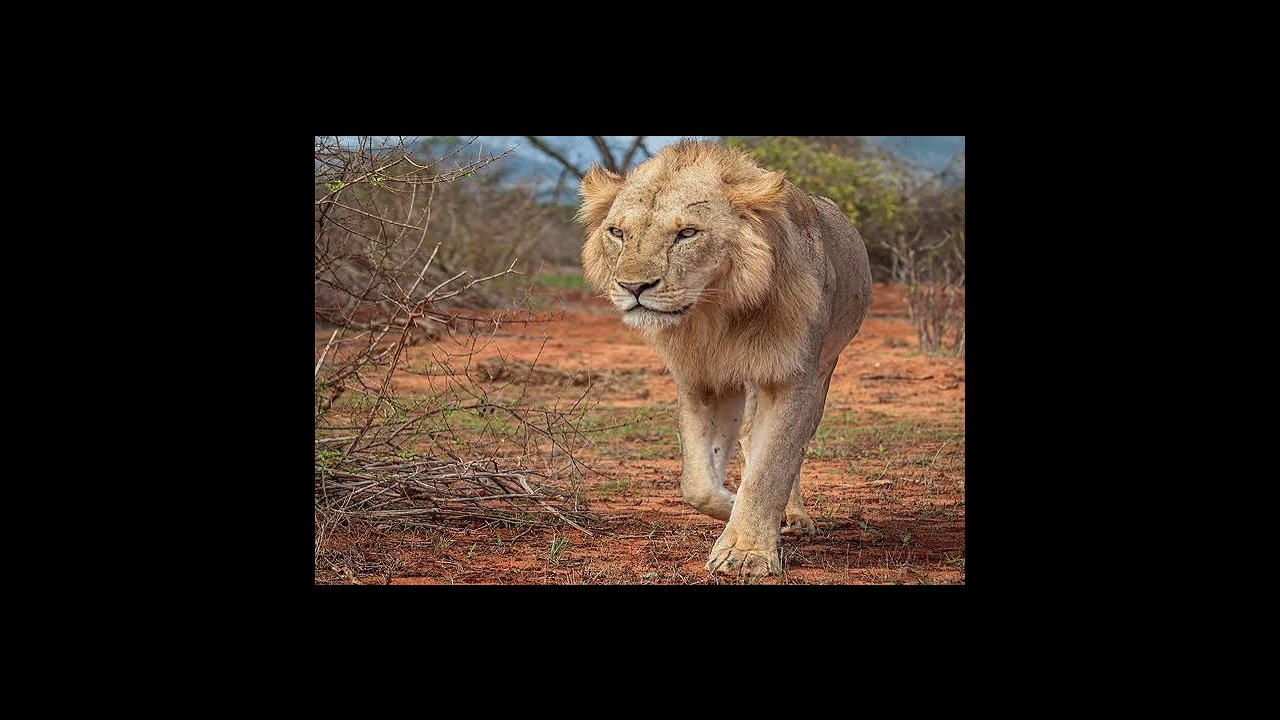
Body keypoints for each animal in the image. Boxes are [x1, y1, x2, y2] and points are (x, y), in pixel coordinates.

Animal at [577, 140, 872, 576]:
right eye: (617, 232)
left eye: (687, 233)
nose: (633, 287)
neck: (715, 312)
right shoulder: (705, 380)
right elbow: (697, 483)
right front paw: (731, 504)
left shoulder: (792, 377)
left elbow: (772, 467)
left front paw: (747, 551)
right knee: (749, 438)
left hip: (825, 369)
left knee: (794, 448)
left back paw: (794, 516)